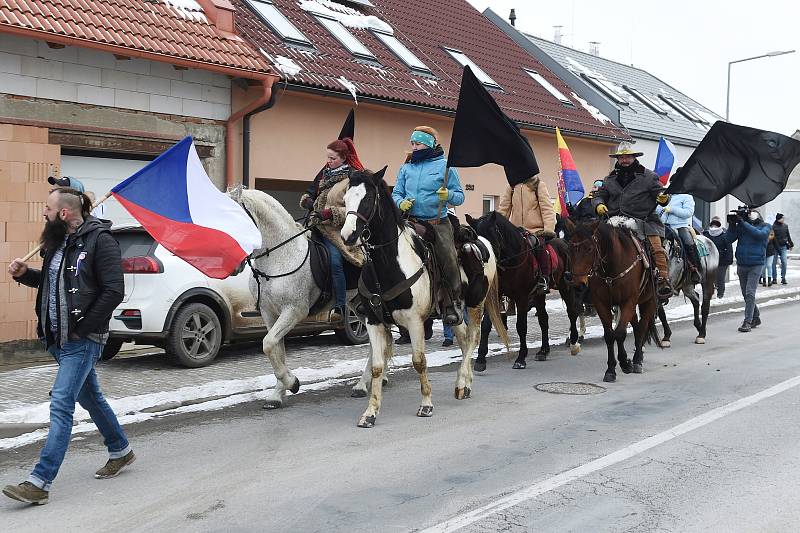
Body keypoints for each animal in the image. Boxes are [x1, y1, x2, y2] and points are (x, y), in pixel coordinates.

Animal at [340, 168, 506, 426]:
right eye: (345, 199)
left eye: (367, 200)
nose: (347, 236)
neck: (389, 265)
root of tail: (482, 240)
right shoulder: (373, 321)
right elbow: (377, 365)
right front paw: (370, 412)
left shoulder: (415, 322)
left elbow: (419, 361)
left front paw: (426, 404)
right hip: (453, 312)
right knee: (463, 338)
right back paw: (465, 381)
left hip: (475, 304)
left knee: (473, 338)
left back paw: (462, 383)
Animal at [462, 209, 580, 370]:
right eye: (476, 238)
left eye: (491, 233)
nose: (486, 261)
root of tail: (563, 243)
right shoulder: (494, 296)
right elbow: (486, 325)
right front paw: (480, 359)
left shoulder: (522, 297)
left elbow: (521, 326)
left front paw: (521, 358)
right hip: (539, 295)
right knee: (544, 319)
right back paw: (543, 351)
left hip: (565, 287)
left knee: (571, 312)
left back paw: (573, 342)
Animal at [564, 217, 660, 382]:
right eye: (570, 248)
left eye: (589, 248)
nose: (577, 284)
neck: (612, 268)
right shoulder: (602, 303)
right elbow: (610, 335)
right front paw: (612, 369)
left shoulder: (628, 301)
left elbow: (620, 332)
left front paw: (626, 363)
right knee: (636, 326)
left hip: (648, 300)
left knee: (642, 327)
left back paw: (637, 360)